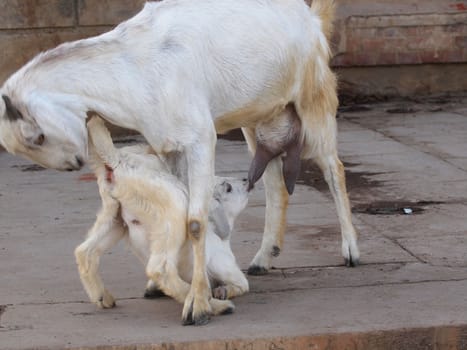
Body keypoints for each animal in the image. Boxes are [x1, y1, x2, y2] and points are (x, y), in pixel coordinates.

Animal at [77, 117, 250, 322]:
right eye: (228, 187)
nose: (247, 180)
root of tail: (118, 161)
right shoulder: (227, 268)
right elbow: (241, 284)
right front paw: (219, 292)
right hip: (174, 206)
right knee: (161, 269)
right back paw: (213, 307)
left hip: (114, 215)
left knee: (85, 251)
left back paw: (102, 296)